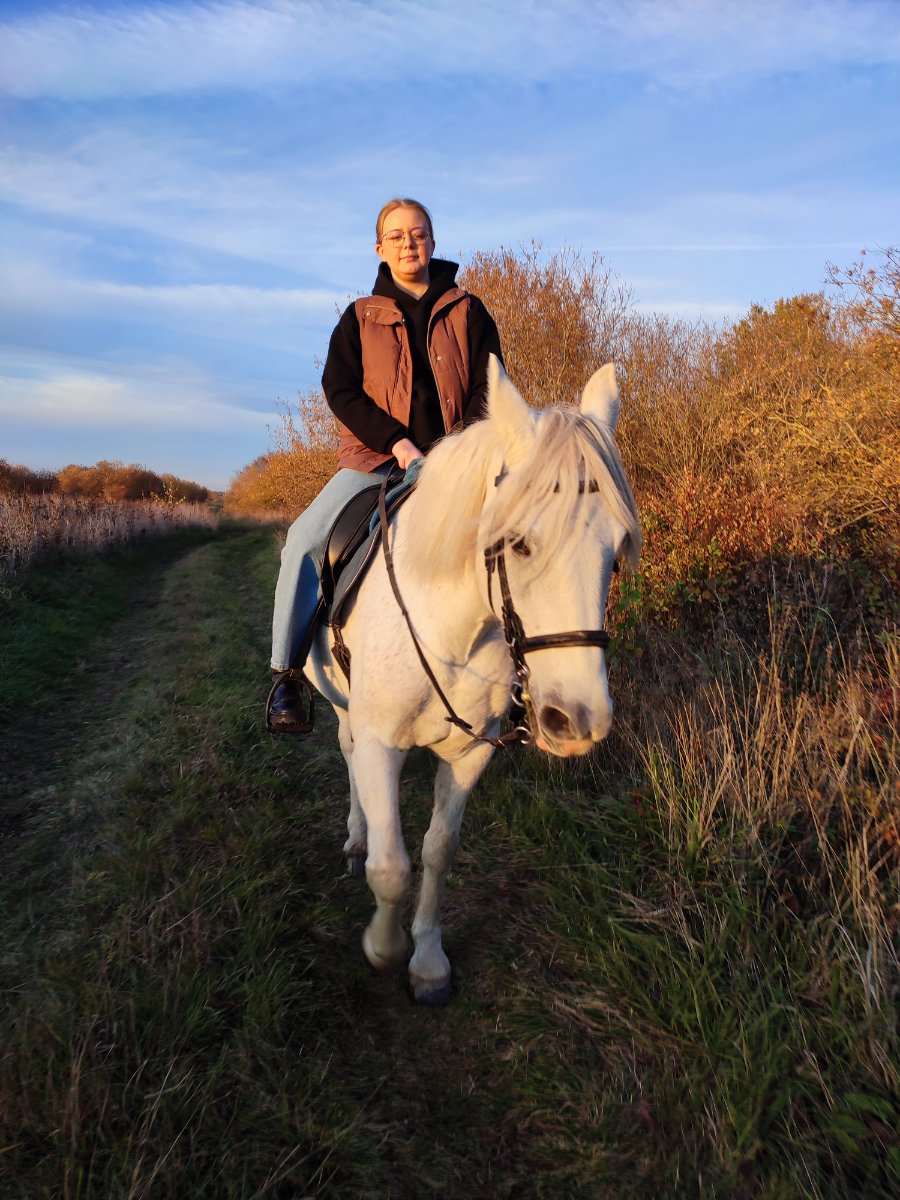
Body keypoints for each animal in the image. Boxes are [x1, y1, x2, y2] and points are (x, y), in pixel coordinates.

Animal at [305, 356, 641, 1004]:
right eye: (518, 543)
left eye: (616, 552)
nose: (578, 721)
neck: (452, 628)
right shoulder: (382, 742)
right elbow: (390, 867)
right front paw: (383, 948)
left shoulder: (469, 754)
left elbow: (438, 852)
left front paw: (427, 961)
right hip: (338, 702)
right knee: (347, 750)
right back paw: (356, 834)